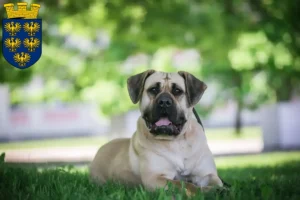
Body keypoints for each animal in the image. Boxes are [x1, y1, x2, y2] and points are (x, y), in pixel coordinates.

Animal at [90, 70, 224, 195]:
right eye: (153, 89)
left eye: (177, 91)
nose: (164, 101)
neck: (176, 142)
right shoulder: (155, 178)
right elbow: (184, 184)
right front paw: (200, 191)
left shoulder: (207, 174)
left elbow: (216, 183)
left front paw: (217, 190)